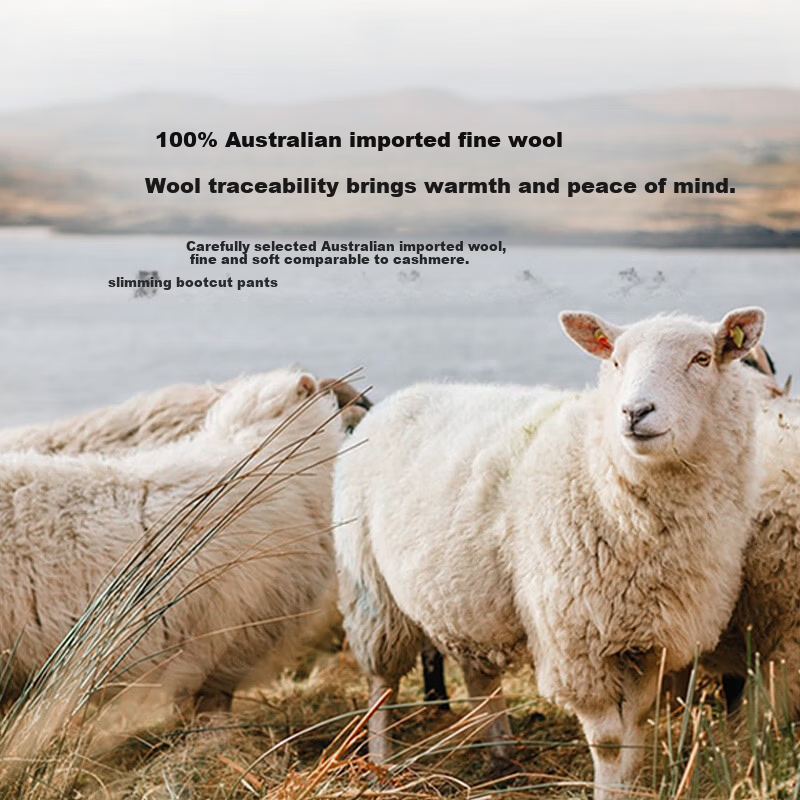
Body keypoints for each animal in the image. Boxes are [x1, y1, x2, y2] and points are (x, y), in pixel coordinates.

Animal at [333, 308, 765, 798]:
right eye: (615, 361)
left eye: (702, 358)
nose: (635, 412)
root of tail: (390, 403)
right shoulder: (577, 643)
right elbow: (611, 743)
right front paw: (606, 791)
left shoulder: (650, 641)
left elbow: (635, 730)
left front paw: (626, 785)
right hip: (370, 588)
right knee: (381, 683)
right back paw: (381, 764)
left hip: (463, 595)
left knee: (479, 673)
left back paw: (501, 755)